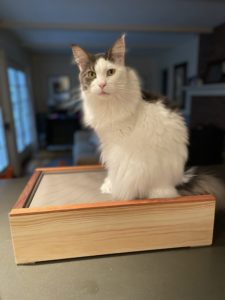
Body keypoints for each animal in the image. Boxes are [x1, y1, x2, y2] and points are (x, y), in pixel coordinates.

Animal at [72, 35, 225, 207]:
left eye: (110, 72)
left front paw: (110, 185)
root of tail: (175, 183)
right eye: (92, 74)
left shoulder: (114, 145)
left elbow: (112, 168)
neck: (107, 105)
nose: (102, 84)